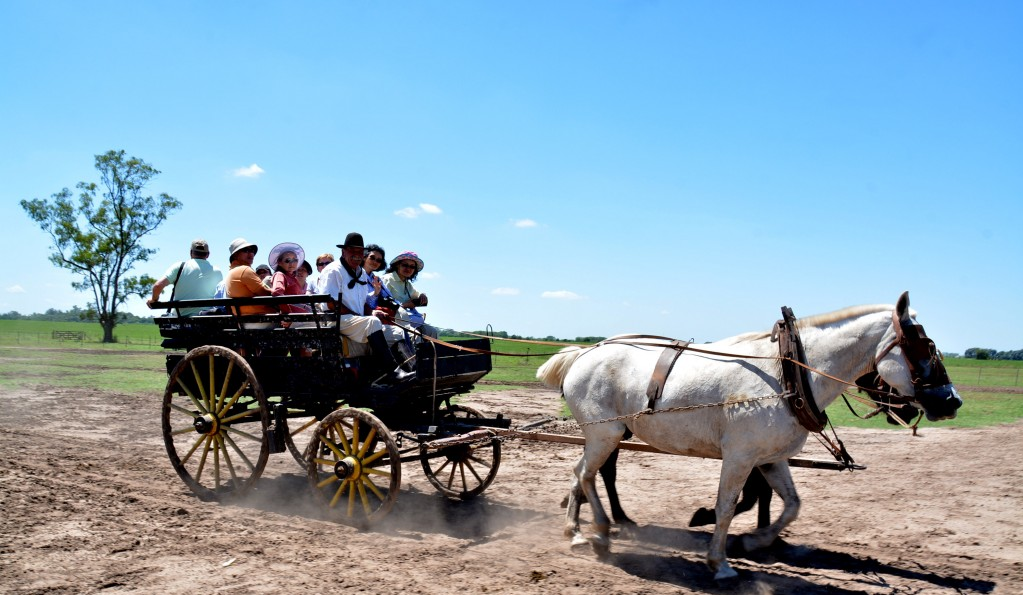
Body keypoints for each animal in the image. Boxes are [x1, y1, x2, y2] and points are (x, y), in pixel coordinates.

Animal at [540, 294, 961, 584]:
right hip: (604, 434)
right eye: (921, 348)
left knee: (583, 474)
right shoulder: (740, 458)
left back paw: (585, 529)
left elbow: (791, 505)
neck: (787, 374)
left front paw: (755, 542)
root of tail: (585, 353)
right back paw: (592, 532)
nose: (952, 401)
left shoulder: (770, 458)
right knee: (586, 474)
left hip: (606, 436)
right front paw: (720, 562)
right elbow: (726, 507)